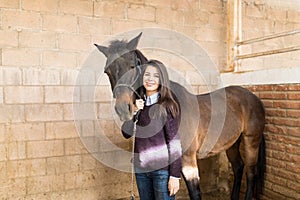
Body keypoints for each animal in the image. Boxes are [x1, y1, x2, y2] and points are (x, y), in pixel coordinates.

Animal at [94, 33, 264, 200]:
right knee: (238, 167)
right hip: (232, 143)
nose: (123, 109)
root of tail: (253, 97)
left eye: (132, 66)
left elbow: (194, 192)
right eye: (107, 71)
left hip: (250, 141)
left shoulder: (188, 160)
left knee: (251, 173)